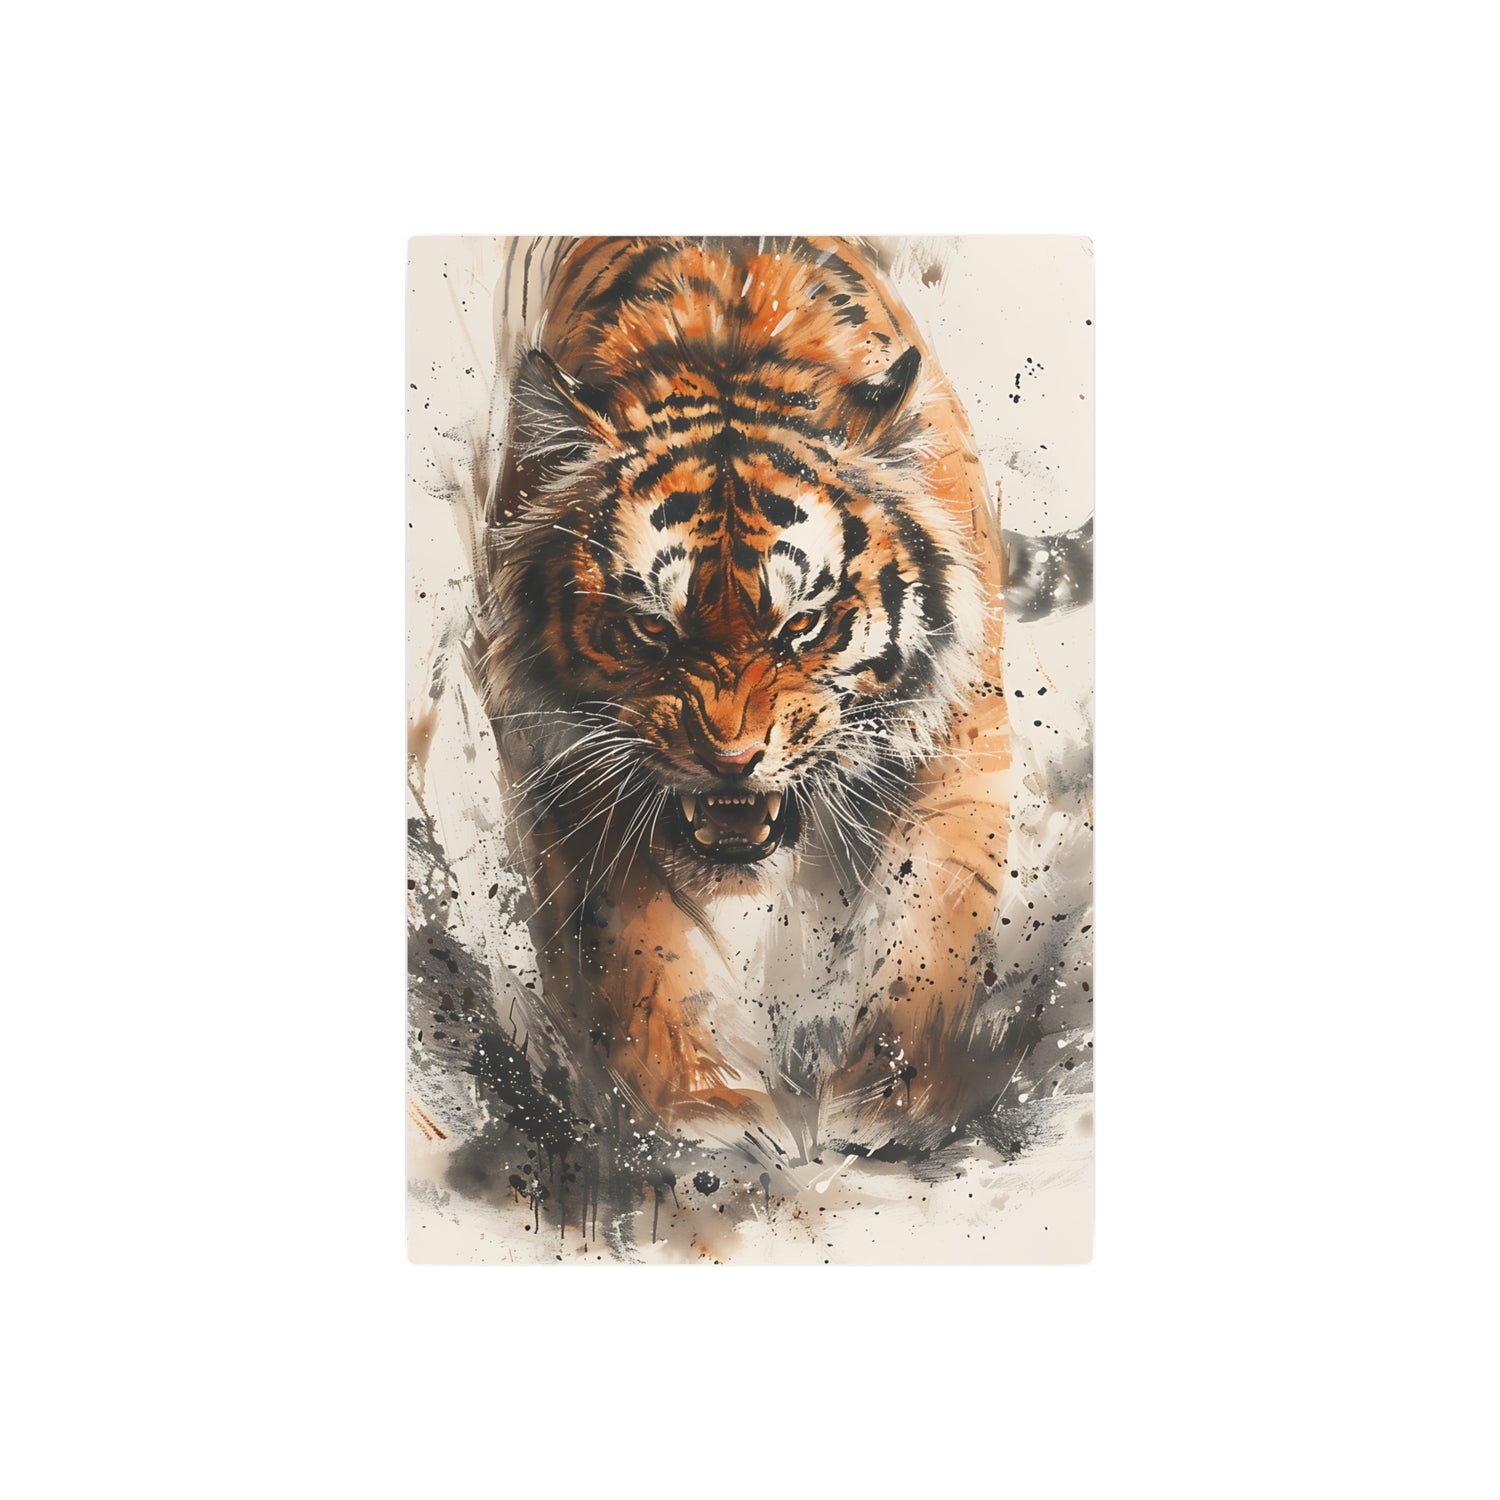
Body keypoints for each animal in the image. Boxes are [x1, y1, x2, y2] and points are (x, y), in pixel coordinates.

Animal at [474, 237, 1012, 1159]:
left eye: (801, 625)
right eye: (652, 629)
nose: (730, 758)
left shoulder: (958, 735)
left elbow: (927, 920)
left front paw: (889, 1097)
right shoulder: (568, 765)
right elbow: (638, 948)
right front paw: (701, 1111)